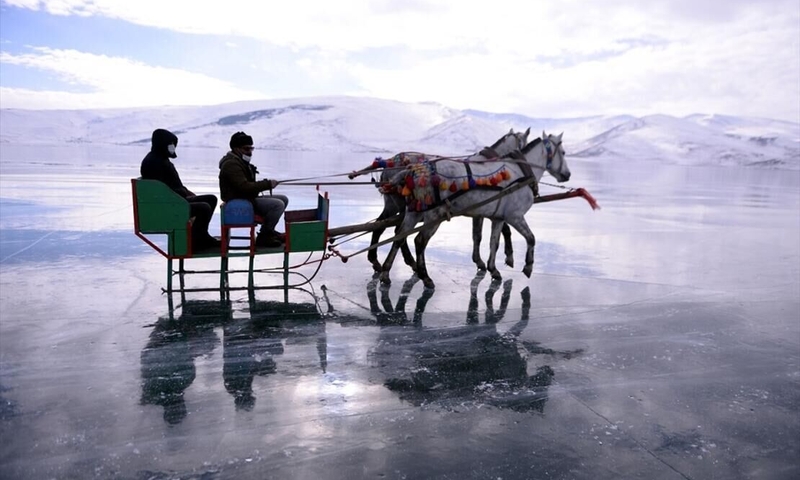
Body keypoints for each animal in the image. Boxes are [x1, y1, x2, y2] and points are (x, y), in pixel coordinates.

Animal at [346, 127, 528, 274]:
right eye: (524, 142)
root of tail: (389, 163)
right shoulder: (488, 205)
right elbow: (499, 230)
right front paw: (504, 257)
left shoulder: (482, 208)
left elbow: (482, 233)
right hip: (404, 205)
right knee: (392, 228)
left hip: (396, 204)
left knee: (385, 226)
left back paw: (384, 261)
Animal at [380, 131, 568, 288]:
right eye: (564, 152)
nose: (568, 174)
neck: (520, 173)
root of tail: (412, 171)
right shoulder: (515, 216)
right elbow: (531, 238)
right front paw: (527, 266)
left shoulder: (496, 217)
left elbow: (493, 242)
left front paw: (493, 269)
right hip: (433, 215)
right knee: (419, 241)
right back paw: (425, 277)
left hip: (414, 212)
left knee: (399, 236)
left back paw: (386, 272)